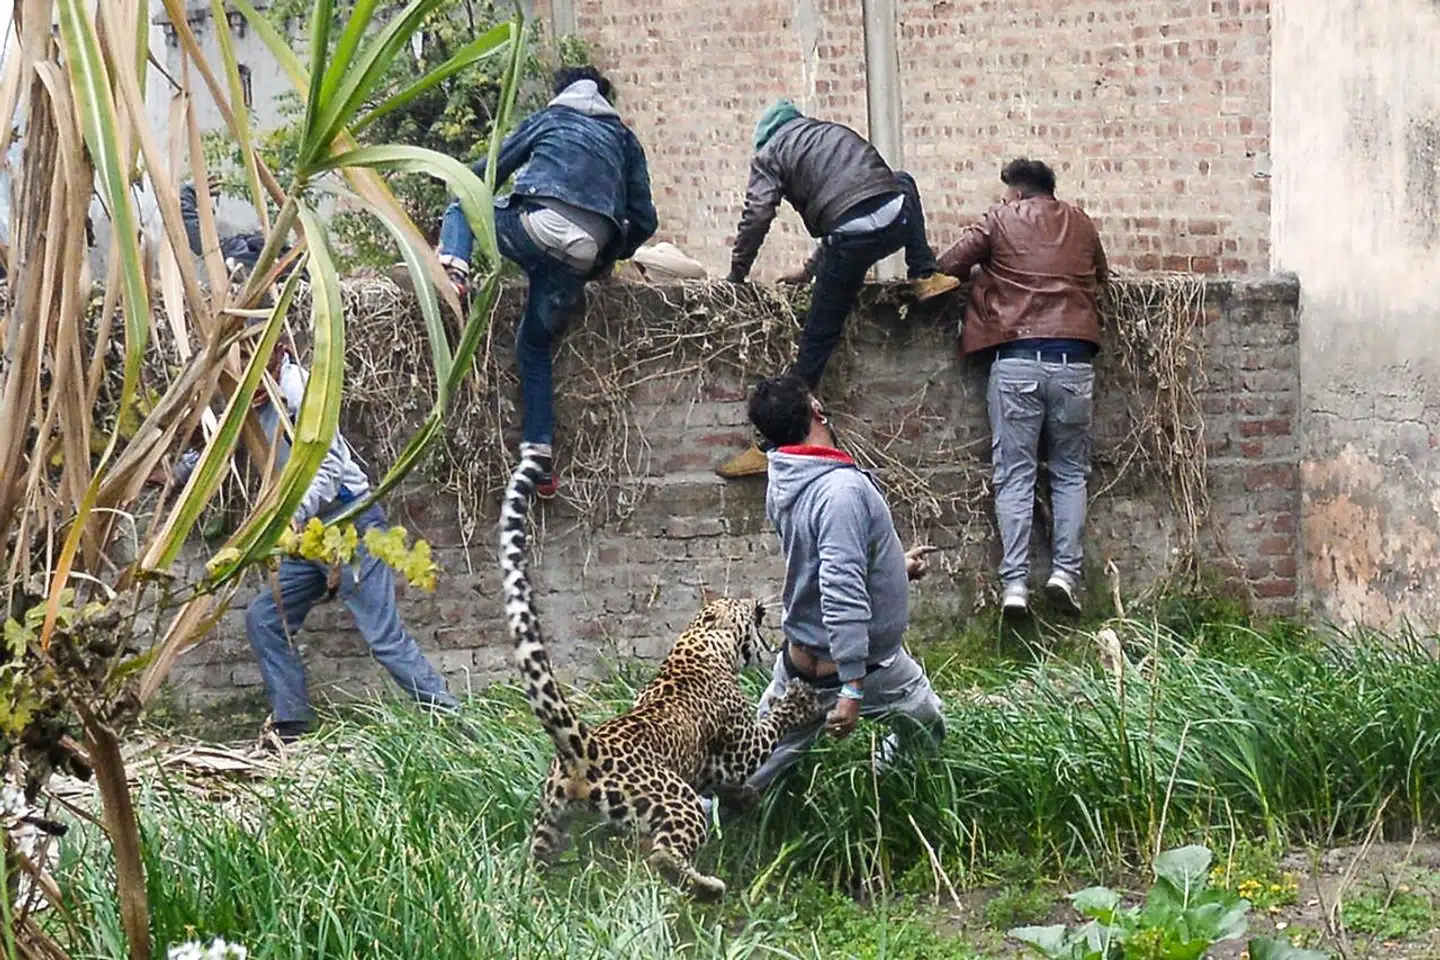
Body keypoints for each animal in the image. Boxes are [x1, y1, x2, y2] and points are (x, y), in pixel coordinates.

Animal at [499, 450, 823, 900]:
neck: (698, 643)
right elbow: (770, 727)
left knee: (537, 862)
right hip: (675, 800)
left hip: (550, 819)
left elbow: (727, 783)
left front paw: (745, 797)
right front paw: (798, 702)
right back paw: (706, 887)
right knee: (663, 855)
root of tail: (586, 749)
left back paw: (533, 894)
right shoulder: (741, 745)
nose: (756, 600)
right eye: (738, 603)